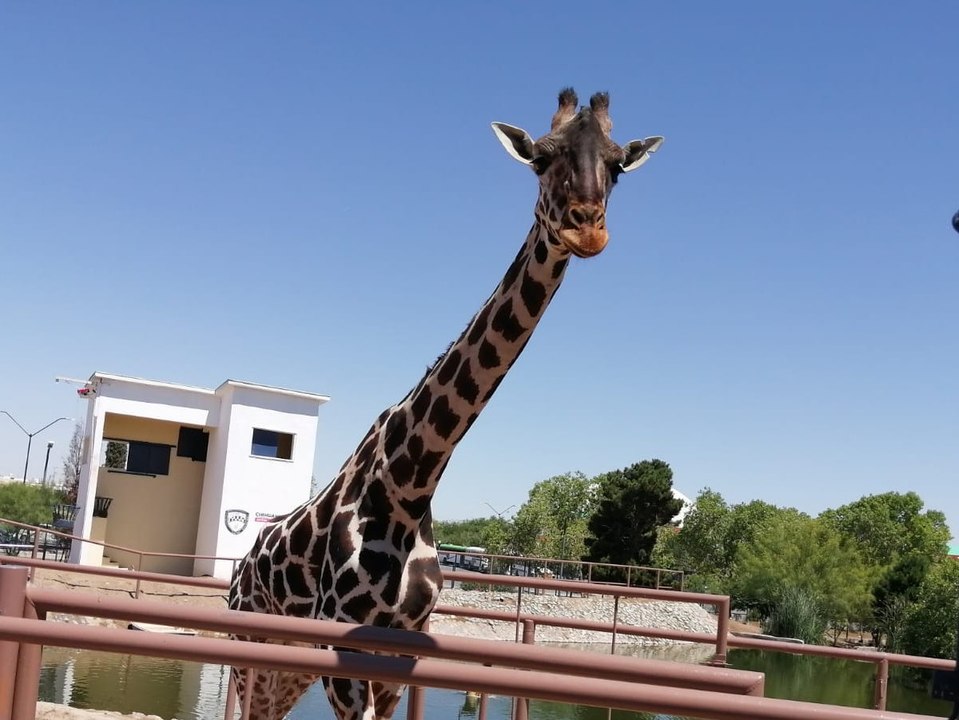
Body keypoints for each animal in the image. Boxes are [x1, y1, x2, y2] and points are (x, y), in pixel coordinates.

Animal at [228, 88, 663, 720]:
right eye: (540, 158)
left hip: (287, 669)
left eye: (616, 165)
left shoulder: (400, 645)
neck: (410, 485)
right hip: (251, 649)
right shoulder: (341, 644)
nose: (588, 231)